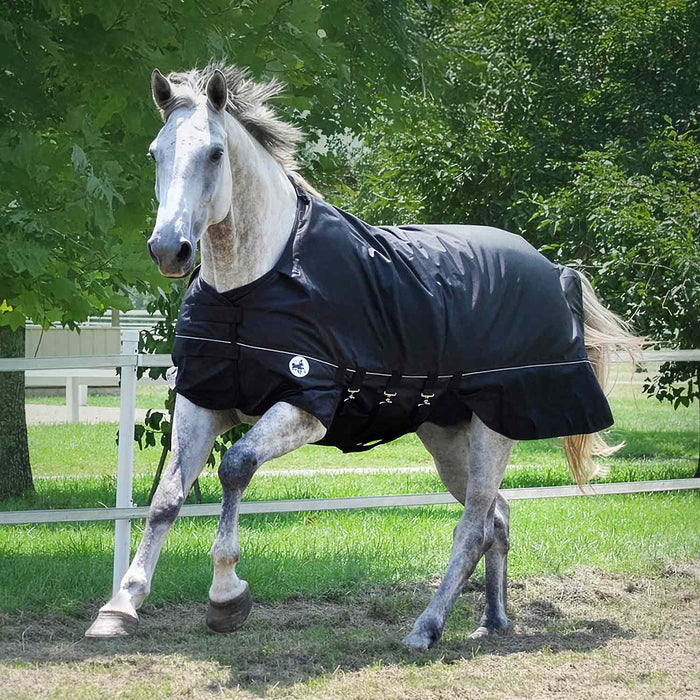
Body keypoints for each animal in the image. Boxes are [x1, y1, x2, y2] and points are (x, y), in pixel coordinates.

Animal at [86, 63, 639, 650]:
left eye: (215, 153)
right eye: (155, 152)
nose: (170, 250)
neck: (252, 285)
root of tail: (555, 271)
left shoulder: (305, 405)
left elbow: (235, 467)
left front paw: (226, 596)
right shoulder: (203, 400)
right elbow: (167, 497)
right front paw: (120, 606)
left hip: (495, 431)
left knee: (472, 528)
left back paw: (425, 629)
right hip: (448, 438)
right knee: (498, 517)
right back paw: (491, 620)